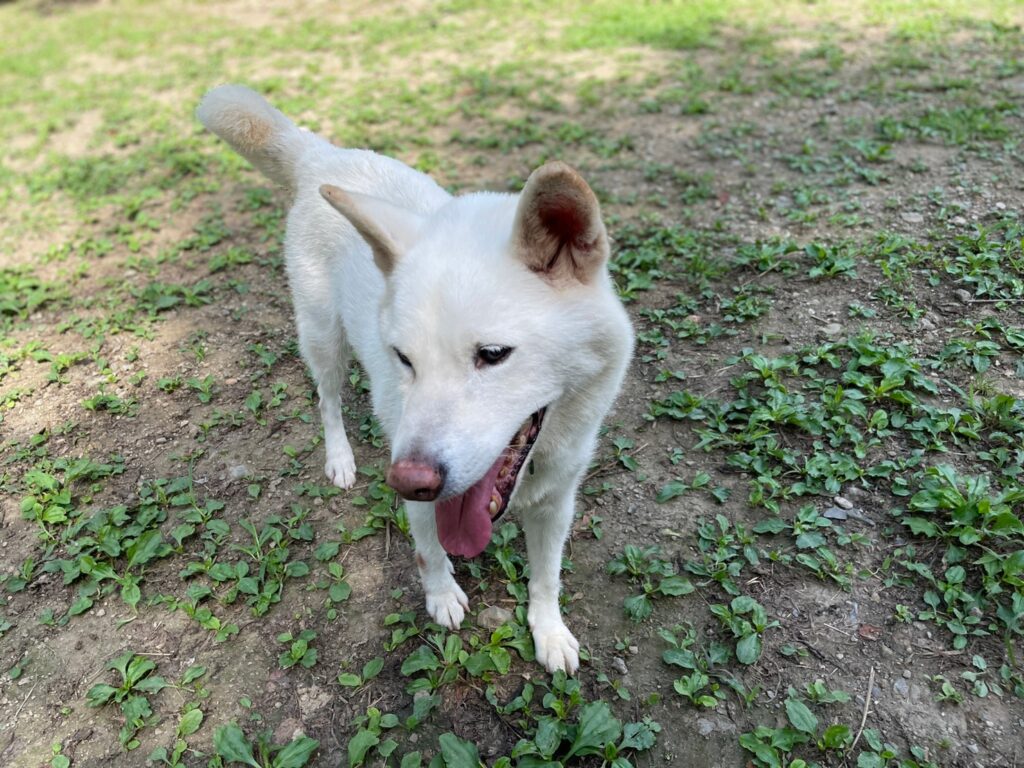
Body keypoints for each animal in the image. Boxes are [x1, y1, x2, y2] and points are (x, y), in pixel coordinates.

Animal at [197, 85, 633, 673]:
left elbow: (547, 578)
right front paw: (442, 596)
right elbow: (429, 553)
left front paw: (549, 630)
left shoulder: (557, 503)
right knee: (328, 399)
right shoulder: (421, 492)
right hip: (323, 338)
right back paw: (340, 458)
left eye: (493, 354)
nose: (406, 479)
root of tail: (322, 154)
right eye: (404, 358)